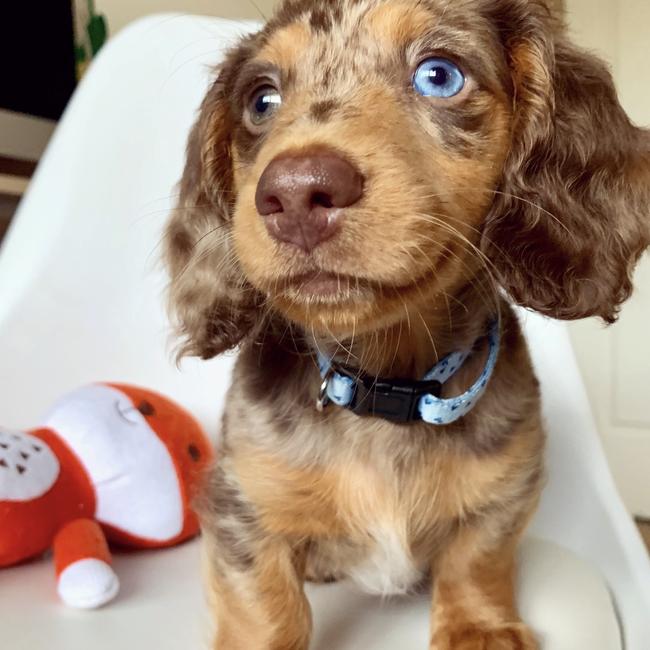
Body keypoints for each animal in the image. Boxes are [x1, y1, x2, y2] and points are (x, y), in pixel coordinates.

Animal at [163, 2, 648, 644]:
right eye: (261, 100)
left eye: (439, 75)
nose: (294, 195)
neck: (383, 387)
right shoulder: (241, 504)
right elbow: (265, 606)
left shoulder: (507, 488)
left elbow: (477, 556)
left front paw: (479, 630)